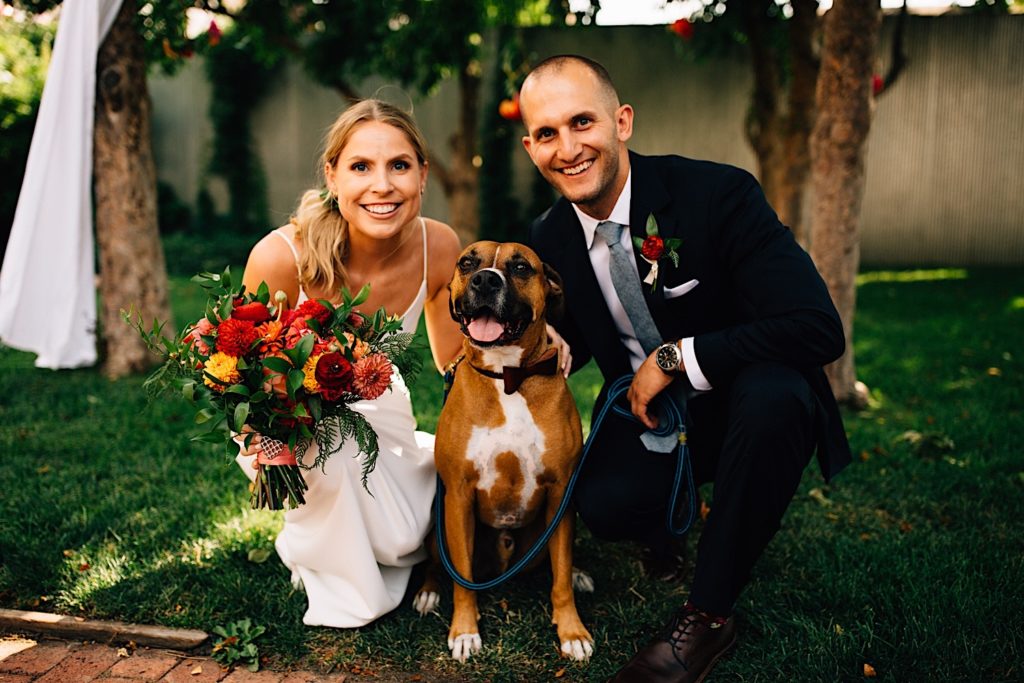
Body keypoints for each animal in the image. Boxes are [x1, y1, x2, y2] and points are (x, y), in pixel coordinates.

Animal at [413, 240, 598, 663]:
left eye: (520, 267)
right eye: (467, 263)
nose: (485, 280)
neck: (507, 377)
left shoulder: (561, 493)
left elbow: (560, 577)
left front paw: (572, 631)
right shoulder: (459, 496)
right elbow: (462, 579)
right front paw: (465, 631)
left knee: (556, 562)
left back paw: (579, 573)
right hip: (438, 522)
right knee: (436, 563)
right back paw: (428, 592)